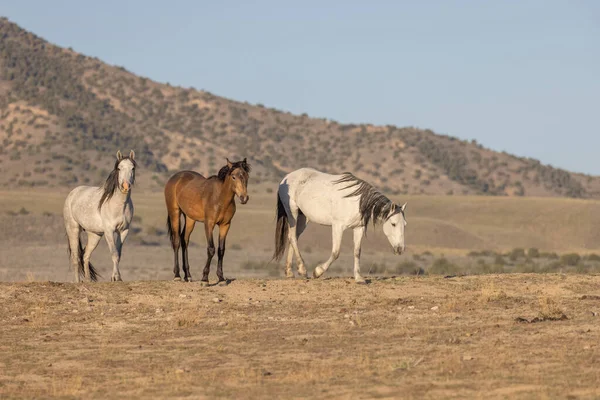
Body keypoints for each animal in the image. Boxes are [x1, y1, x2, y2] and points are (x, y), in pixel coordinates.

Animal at [64, 149, 137, 282]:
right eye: (119, 168)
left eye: (133, 168)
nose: (125, 186)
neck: (119, 205)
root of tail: (72, 193)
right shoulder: (109, 231)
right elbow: (114, 253)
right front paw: (115, 277)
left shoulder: (123, 231)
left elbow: (118, 254)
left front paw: (117, 278)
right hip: (73, 229)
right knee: (76, 257)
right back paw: (78, 281)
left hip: (95, 235)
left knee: (86, 255)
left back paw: (88, 280)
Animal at [163, 158, 250, 286]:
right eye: (234, 177)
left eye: (246, 176)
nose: (244, 198)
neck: (220, 198)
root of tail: (175, 178)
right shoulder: (209, 224)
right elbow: (211, 249)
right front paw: (205, 279)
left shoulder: (225, 225)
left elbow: (221, 250)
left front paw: (221, 278)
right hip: (175, 213)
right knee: (177, 241)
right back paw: (177, 275)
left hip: (190, 218)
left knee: (185, 240)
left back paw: (188, 275)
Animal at [274, 167, 408, 282]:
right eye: (393, 224)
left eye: (405, 225)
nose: (400, 249)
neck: (356, 201)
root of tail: (287, 177)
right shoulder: (338, 227)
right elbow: (336, 252)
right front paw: (318, 272)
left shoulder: (358, 228)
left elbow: (357, 251)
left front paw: (359, 278)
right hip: (293, 213)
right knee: (292, 237)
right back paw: (302, 270)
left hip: (303, 218)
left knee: (293, 238)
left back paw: (290, 272)